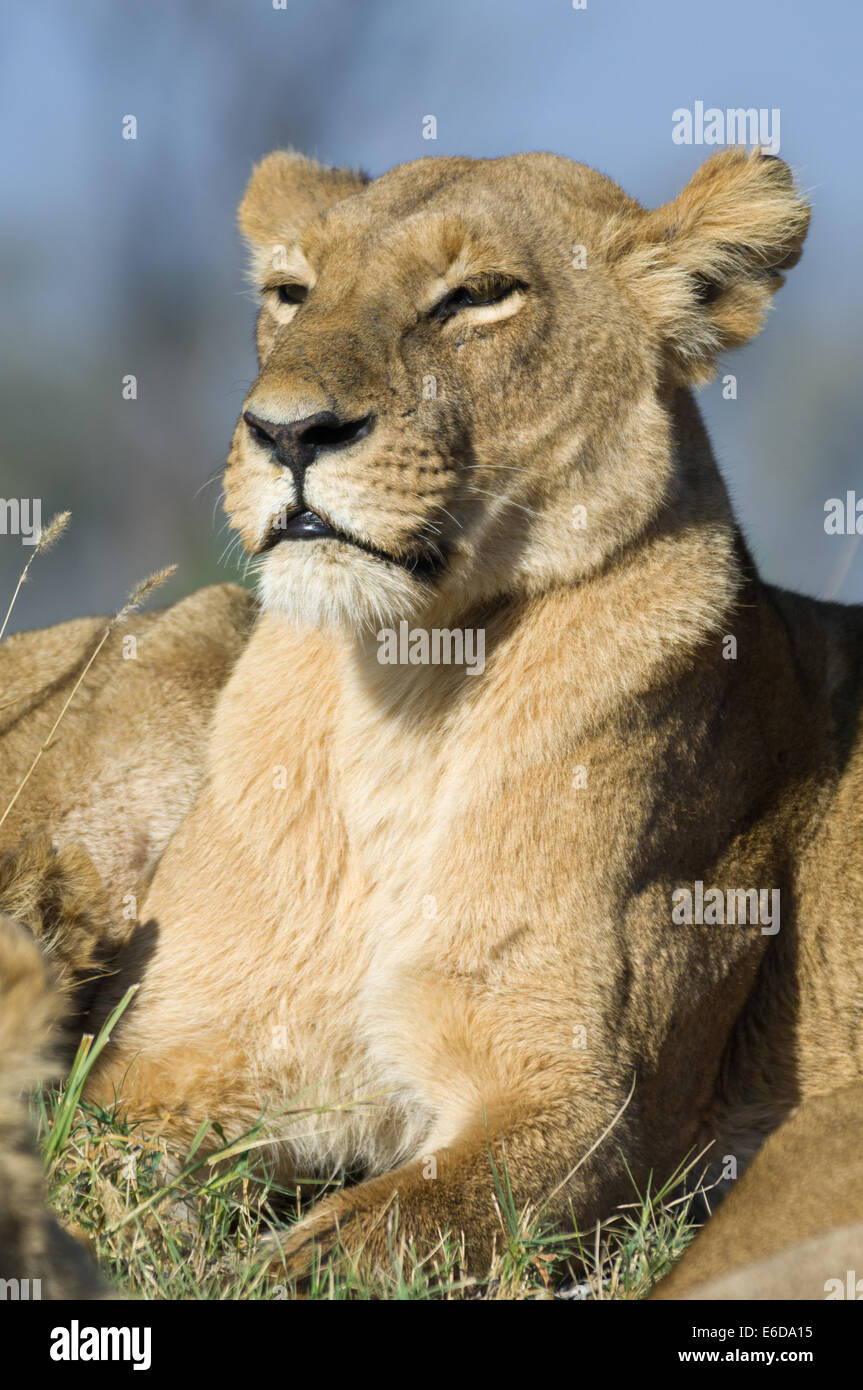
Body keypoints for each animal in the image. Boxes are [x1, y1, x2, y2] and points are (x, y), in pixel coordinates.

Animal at [2, 145, 862, 1292]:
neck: (399, 700)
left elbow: (355, 1240)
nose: (287, 432)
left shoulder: (583, 1111)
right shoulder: (171, 1057)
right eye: (292, 292)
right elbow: (100, 1170)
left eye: (477, 295)